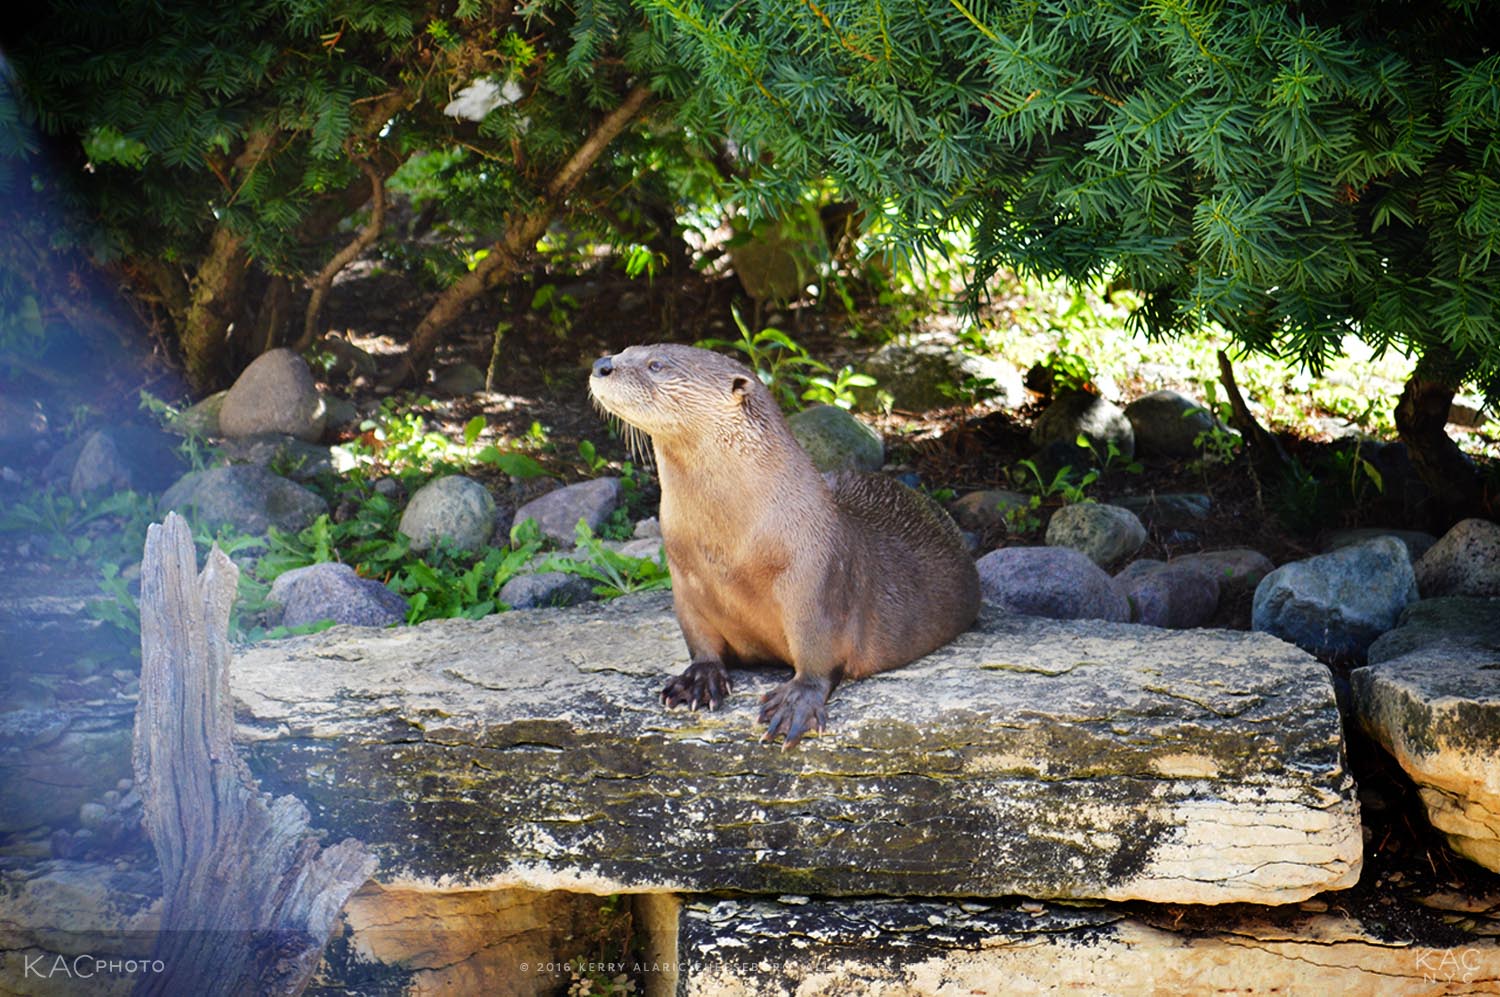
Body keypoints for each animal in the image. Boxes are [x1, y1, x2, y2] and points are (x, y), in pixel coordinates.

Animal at [591, 346, 978, 743]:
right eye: (626, 350)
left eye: (657, 365)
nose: (601, 364)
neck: (733, 554)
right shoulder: (685, 582)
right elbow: (699, 639)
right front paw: (698, 678)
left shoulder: (816, 578)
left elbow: (818, 652)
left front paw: (797, 700)